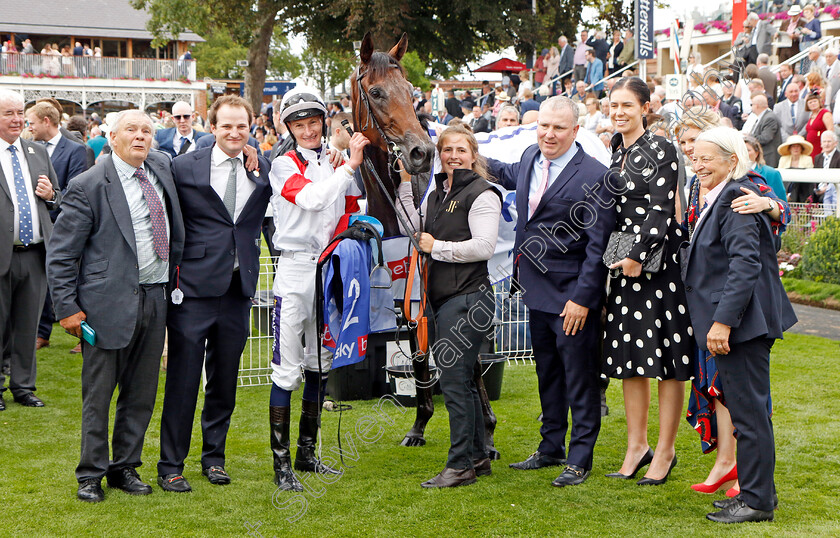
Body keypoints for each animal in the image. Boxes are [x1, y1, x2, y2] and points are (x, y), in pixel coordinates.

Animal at [350, 31, 498, 454]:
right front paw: (420, 423)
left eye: (411, 91)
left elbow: (465, 354)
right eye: (377, 91)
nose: (421, 153)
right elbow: (418, 353)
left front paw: (486, 430)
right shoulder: (407, 294)